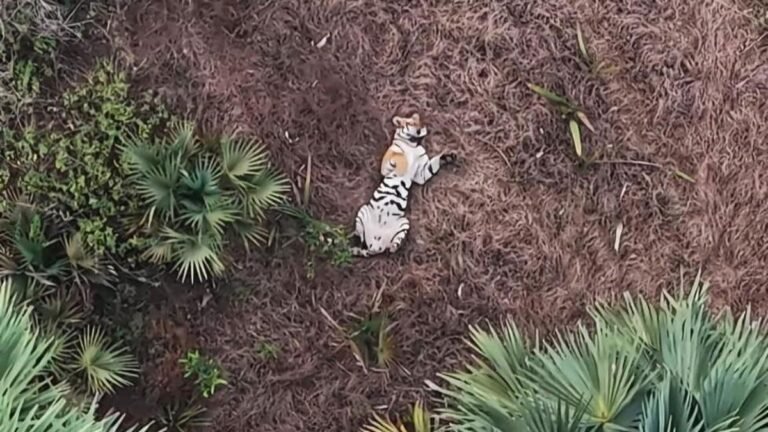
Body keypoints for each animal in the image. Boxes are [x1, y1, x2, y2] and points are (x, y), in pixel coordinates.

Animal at [350, 113, 457, 257]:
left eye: (419, 121)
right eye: (411, 122)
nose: (421, 128)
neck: (413, 144)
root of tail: (375, 246)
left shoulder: (421, 174)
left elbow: (434, 163)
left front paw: (449, 156)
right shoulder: (387, 163)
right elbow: (398, 156)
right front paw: (402, 164)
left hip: (404, 224)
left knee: (390, 246)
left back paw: (395, 246)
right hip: (363, 210)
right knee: (360, 237)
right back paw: (354, 246)